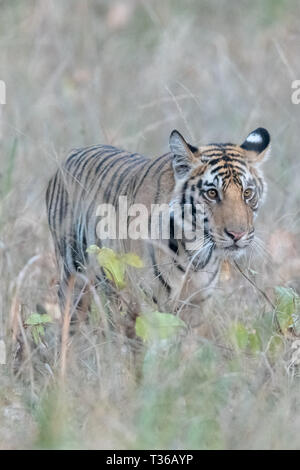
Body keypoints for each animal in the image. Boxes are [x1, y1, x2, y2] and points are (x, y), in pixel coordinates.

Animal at [46, 126, 270, 322]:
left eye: (247, 193)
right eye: (212, 193)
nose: (237, 235)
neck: (197, 255)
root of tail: (72, 153)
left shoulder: (197, 304)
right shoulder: (145, 300)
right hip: (73, 275)